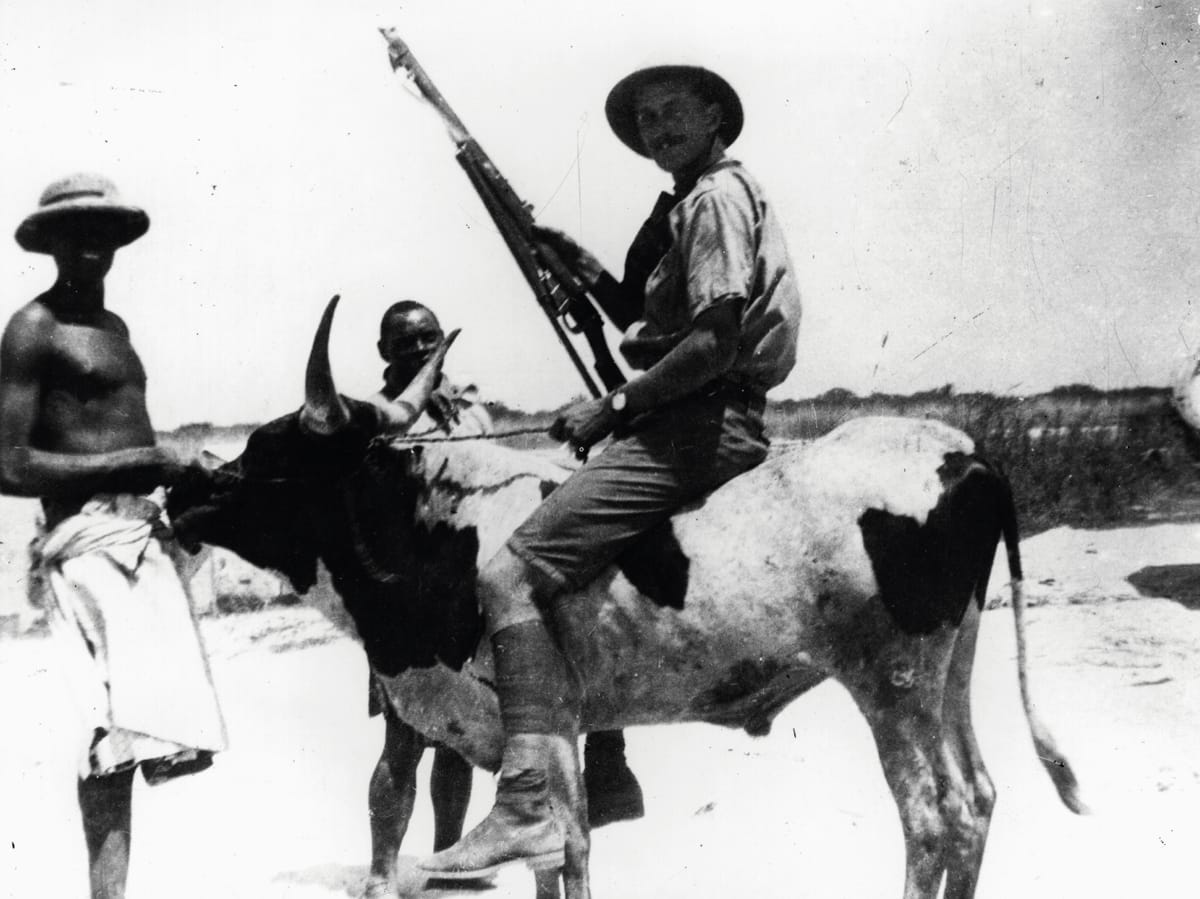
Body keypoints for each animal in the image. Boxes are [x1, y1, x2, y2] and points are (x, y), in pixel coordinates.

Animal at [171, 301, 1089, 897]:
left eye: (269, 453)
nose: (183, 488)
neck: (432, 531)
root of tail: (959, 449)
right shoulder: (551, 730)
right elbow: (557, 851)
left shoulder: (533, 722)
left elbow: (560, 849)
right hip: (950, 668)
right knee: (978, 798)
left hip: (890, 682)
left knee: (935, 816)